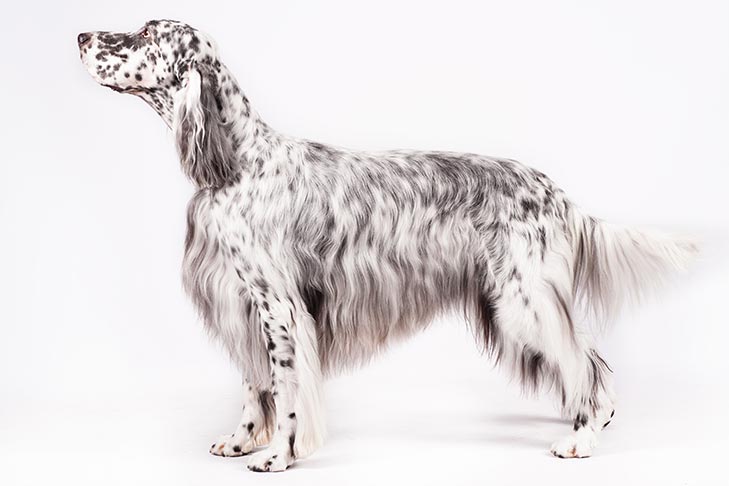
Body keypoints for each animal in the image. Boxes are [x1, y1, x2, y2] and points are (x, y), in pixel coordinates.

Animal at [78, 20, 697, 472]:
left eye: (143, 34)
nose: (81, 36)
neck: (234, 162)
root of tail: (556, 193)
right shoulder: (239, 300)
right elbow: (255, 386)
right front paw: (241, 439)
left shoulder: (279, 306)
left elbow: (288, 389)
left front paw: (277, 455)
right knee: (588, 358)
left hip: (525, 300)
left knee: (582, 363)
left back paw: (581, 439)